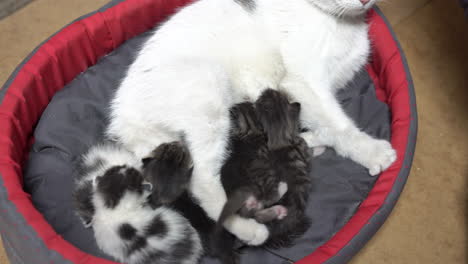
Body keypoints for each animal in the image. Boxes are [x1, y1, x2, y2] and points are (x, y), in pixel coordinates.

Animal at [108, 0, 396, 245]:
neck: (342, 23)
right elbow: (337, 123)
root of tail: (123, 116)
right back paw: (250, 229)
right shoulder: (301, 81)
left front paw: (309, 138)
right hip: (209, 92)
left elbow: (323, 120)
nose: (362, 1)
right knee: (202, 182)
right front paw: (370, 151)